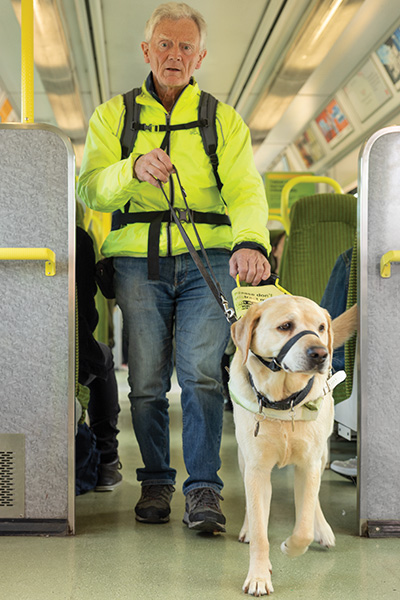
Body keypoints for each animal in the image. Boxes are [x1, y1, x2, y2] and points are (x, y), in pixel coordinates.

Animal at [229, 296, 357, 596]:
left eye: (321, 327)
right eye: (285, 326)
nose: (320, 354)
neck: (283, 401)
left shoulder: (308, 465)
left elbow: (304, 527)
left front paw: (291, 546)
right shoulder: (257, 470)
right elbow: (261, 529)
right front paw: (259, 575)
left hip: (321, 456)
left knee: (313, 501)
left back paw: (323, 529)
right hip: (244, 459)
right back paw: (249, 529)